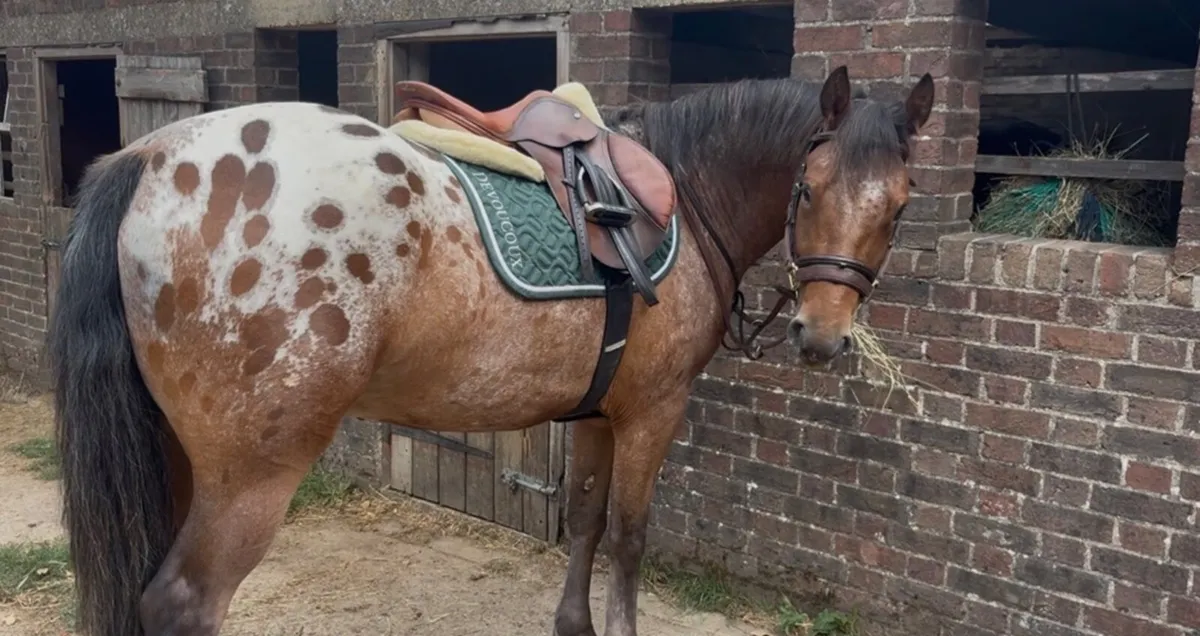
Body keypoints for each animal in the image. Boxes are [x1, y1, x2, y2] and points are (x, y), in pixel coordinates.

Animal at [47, 65, 933, 636]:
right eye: (808, 189)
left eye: (898, 206)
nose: (822, 335)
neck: (685, 191)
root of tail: (147, 158)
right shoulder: (653, 410)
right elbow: (629, 535)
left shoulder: (598, 411)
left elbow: (583, 520)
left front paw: (573, 626)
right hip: (253, 474)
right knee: (183, 604)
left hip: (179, 454)